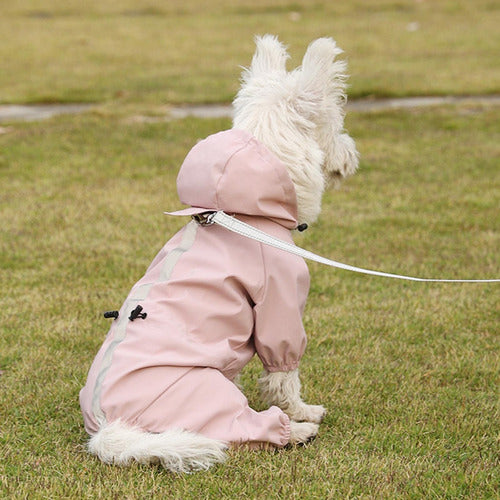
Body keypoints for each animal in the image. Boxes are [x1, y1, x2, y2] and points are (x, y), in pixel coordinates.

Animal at [79, 33, 360, 470]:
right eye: (336, 122)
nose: (352, 155)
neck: (240, 213)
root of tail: (108, 430)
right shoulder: (280, 305)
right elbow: (283, 373)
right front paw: (303, 410)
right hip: (207, 393)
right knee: (245, 432)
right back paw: (297, 430)